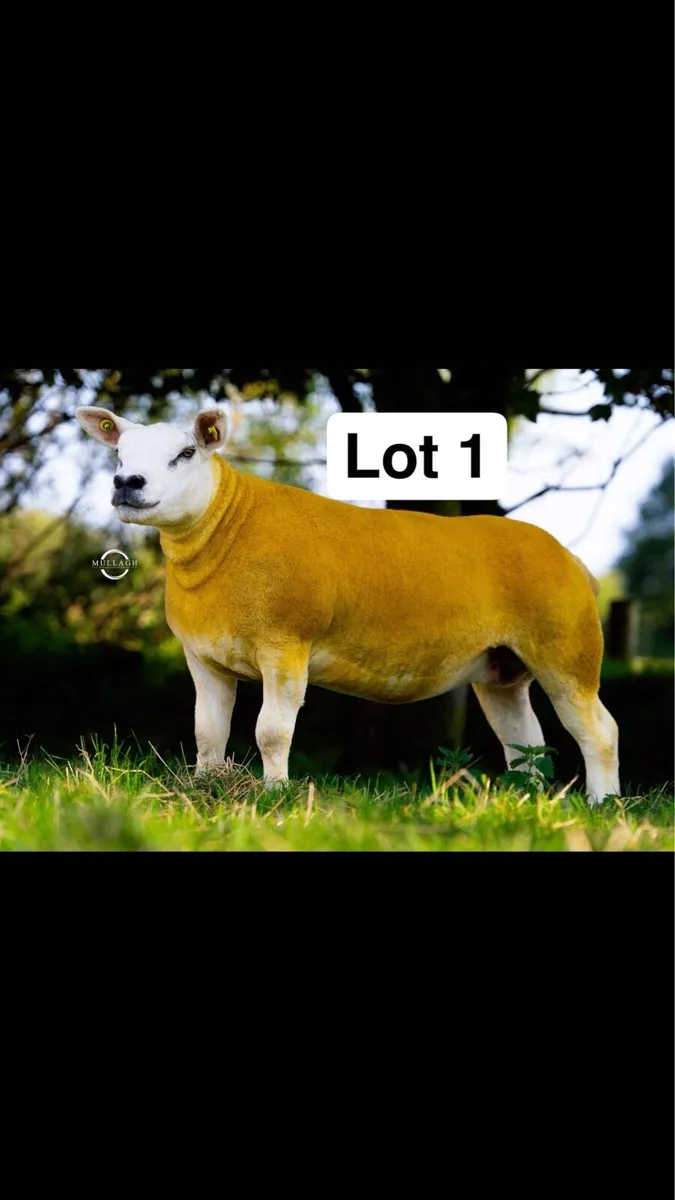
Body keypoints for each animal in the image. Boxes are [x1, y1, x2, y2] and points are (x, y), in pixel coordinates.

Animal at [75, 405, 620, 804]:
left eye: (187, 452)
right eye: (119, 454)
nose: (127, 483)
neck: (226, 530)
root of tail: (571, 557)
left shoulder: (286, 645)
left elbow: (272, 732)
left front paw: (274, 794)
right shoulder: (203, 657)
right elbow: (207, 731)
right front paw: (206, 789)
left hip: (567, 651)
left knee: (599, 731)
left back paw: (602, 804)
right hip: (501, 670)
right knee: (526, 742)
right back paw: (526, 799)